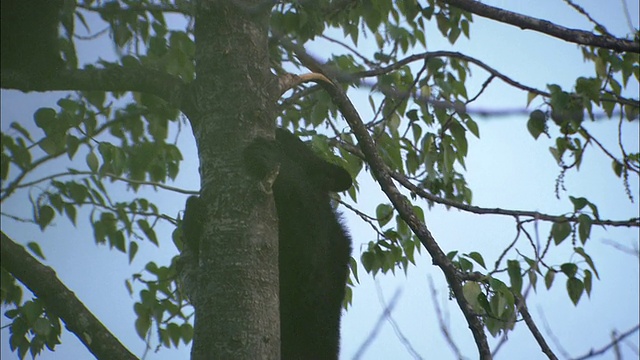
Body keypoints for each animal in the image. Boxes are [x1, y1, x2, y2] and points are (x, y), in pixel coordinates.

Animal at [182, 129, 352, 360]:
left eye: (285, 145)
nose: (279, 130)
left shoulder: (324, 250)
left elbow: (307, 248)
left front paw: (269, 156)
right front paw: (194, 213)